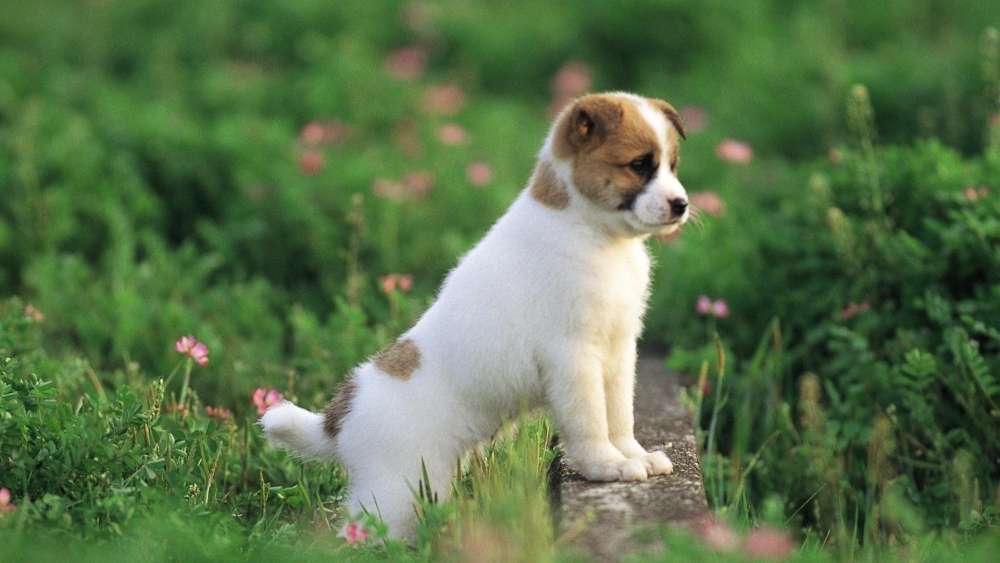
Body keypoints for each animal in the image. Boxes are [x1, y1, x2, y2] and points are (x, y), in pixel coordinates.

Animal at [266, 91, 688, 536]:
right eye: (639, 165)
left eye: (672, 165)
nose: (682, 205)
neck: (589, 230)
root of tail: (339, 419)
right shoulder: (573, 359)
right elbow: (590, 422)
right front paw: (606, 466)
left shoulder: (618, 351)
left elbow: (619, 414)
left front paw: (632, 455)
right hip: (395, 494)